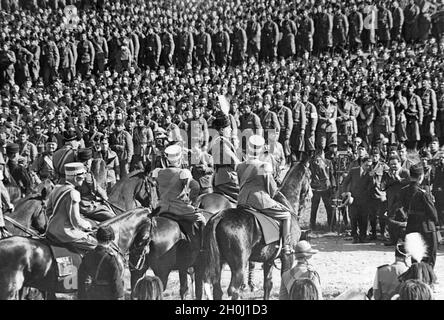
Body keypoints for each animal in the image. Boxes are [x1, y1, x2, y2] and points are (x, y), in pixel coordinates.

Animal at [201, 161, 312, 302]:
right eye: (310, 175)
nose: (310, 195)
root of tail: (219, 216)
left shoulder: (269, 260)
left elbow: (268, 284)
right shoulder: (288, 257)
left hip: (219, 263)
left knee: (217, 290)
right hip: (239, 265)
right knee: (234, 290)